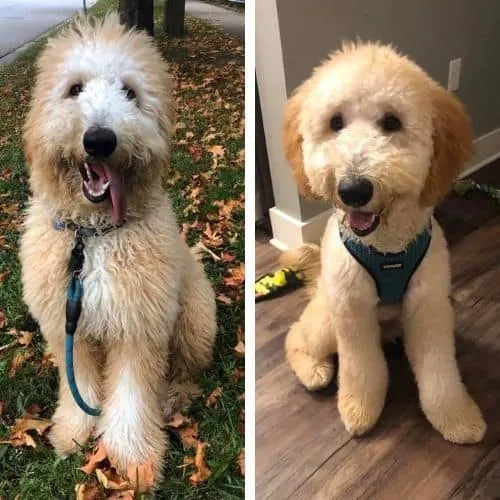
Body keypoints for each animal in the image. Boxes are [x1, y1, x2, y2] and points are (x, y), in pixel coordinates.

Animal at [20, 14, 215, 484]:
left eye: (129, 91)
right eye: (74, 88)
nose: (100, 140)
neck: (93, 236)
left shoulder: (139, 326)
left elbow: (131, 395)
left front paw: (133, 459)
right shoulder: (68, 328)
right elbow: (81, 385)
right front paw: (73, 434)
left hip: (194, 319)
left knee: (186, 370)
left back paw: (173, 397)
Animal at [284, 42, 486, 442]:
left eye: (391, 122)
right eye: (335, 122)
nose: (353, 189)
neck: (387, 248)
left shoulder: (429, 307)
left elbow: (440, 375)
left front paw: (457, 419)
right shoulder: (352, 312)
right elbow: (361, 369)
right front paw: (359, 410)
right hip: (327, 319)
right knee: (296, 335)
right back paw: (313, 369)